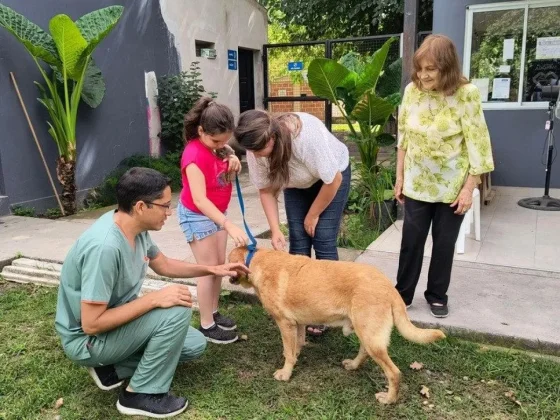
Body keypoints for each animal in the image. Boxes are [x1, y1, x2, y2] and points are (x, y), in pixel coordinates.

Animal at [228, 246, 446, 404]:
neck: (254, 260)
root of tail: (389, 287)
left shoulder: (285, 323)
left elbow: (288, 353)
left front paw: (286, 373)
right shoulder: (298, 324)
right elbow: (296, 346)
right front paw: (295, 359)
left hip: (371, 337)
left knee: (394, 373)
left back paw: (389, 399)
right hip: (366, 332)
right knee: (364, 352)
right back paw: (354, 365)